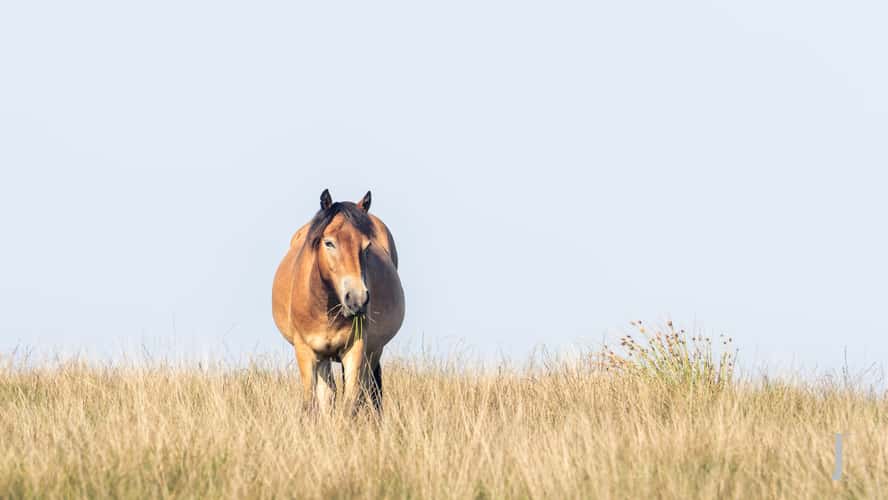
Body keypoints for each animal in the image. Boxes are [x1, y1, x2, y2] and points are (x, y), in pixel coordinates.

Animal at [272, 189, 405, 413]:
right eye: (329, 243)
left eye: (366, 246)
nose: (357, 299)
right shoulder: (305, 351)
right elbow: (312, 404)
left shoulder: (356, 348)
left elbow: (351, 404)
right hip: (324, 358)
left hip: (373, 352)